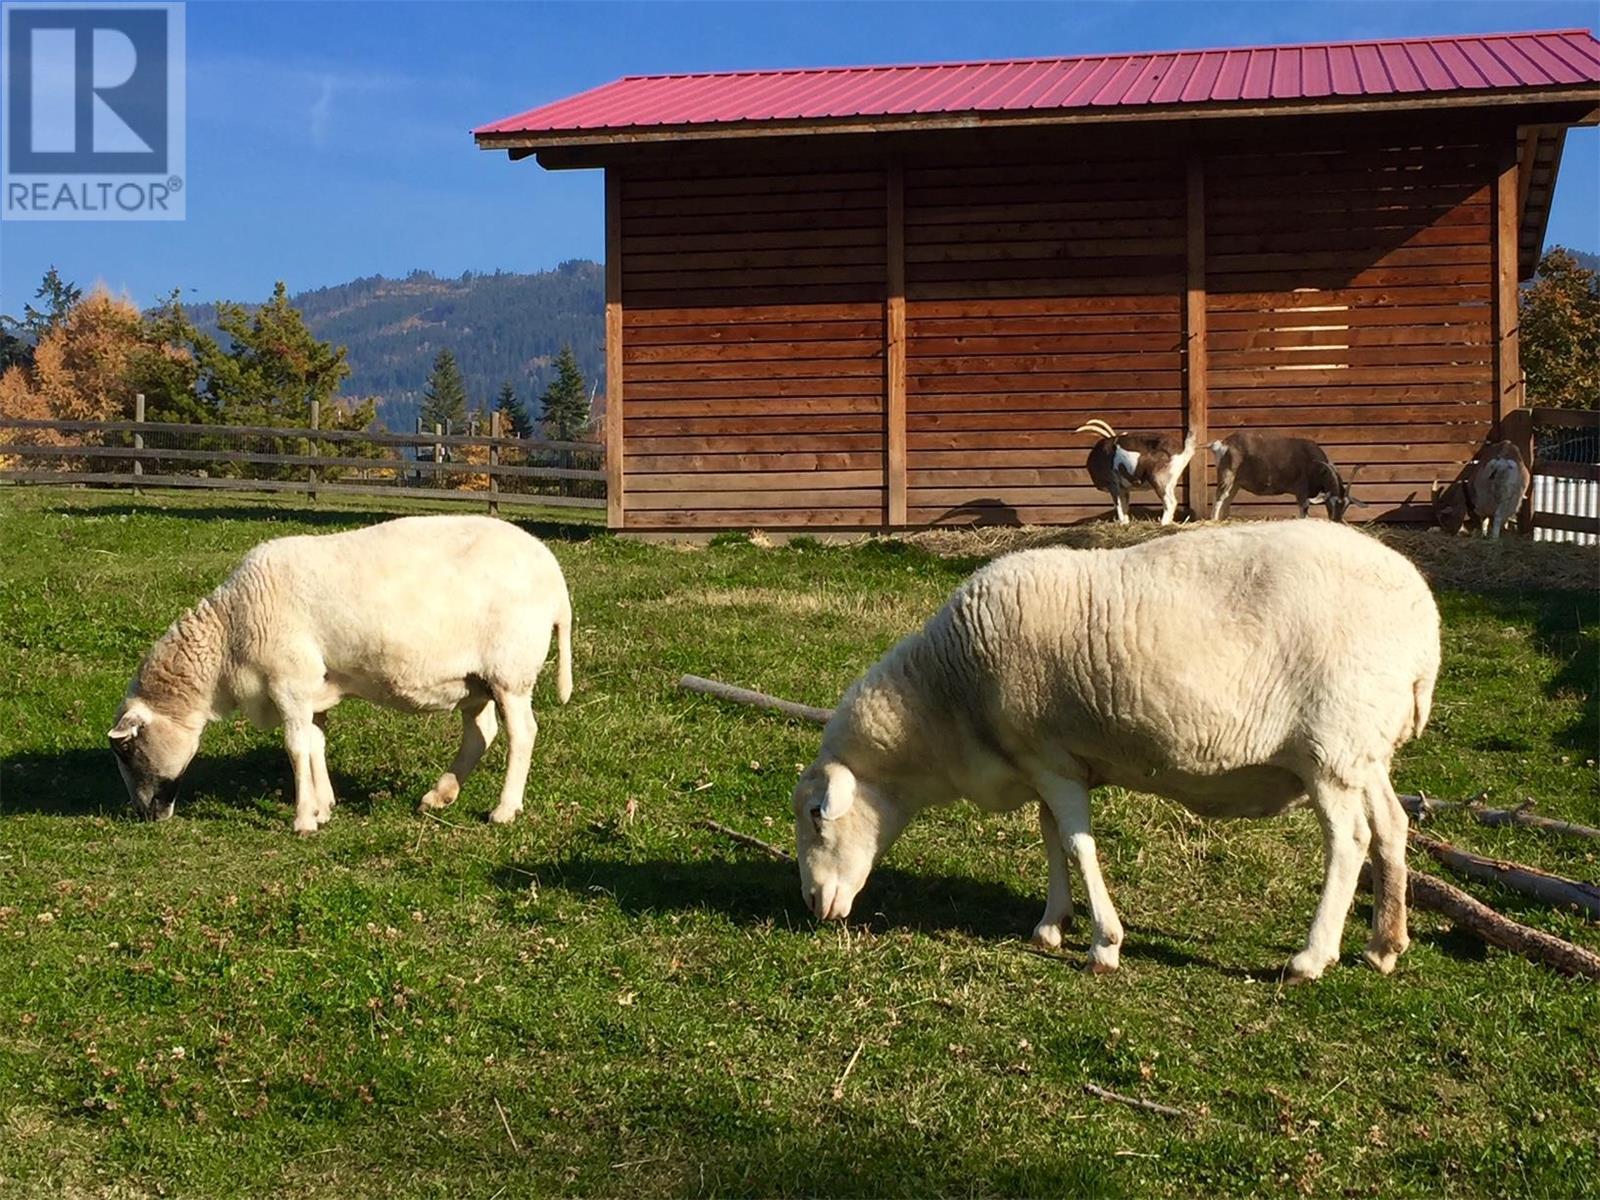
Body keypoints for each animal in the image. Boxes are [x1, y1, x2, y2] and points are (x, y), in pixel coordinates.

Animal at [106, 518, 572, 838]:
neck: (229, 633)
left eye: (126, 751)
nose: (143, 815)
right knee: (481, 733)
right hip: (474, 680)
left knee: (522, 733)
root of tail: (556, 582)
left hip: (511, 671)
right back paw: (439, 795)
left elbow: (296, 747)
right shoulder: (312, 687)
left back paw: (505, 809)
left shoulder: (290, 681)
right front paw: (323, 806)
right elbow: (316, 743)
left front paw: (303, 820)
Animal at [793, 524, 1446, 985]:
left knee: (1350, 841)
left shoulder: (1051, 762)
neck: (946, 700)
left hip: (1330, 749)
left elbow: (1078, 845)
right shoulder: (1047, 763)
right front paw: (1051, 925)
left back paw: (1311, 957)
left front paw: (1103, 945)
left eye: (817, 816)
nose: (813, 905)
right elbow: (1051, 838)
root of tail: (1425, 624)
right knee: (1392, 826)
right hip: (1363, 748)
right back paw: (1384, 946)